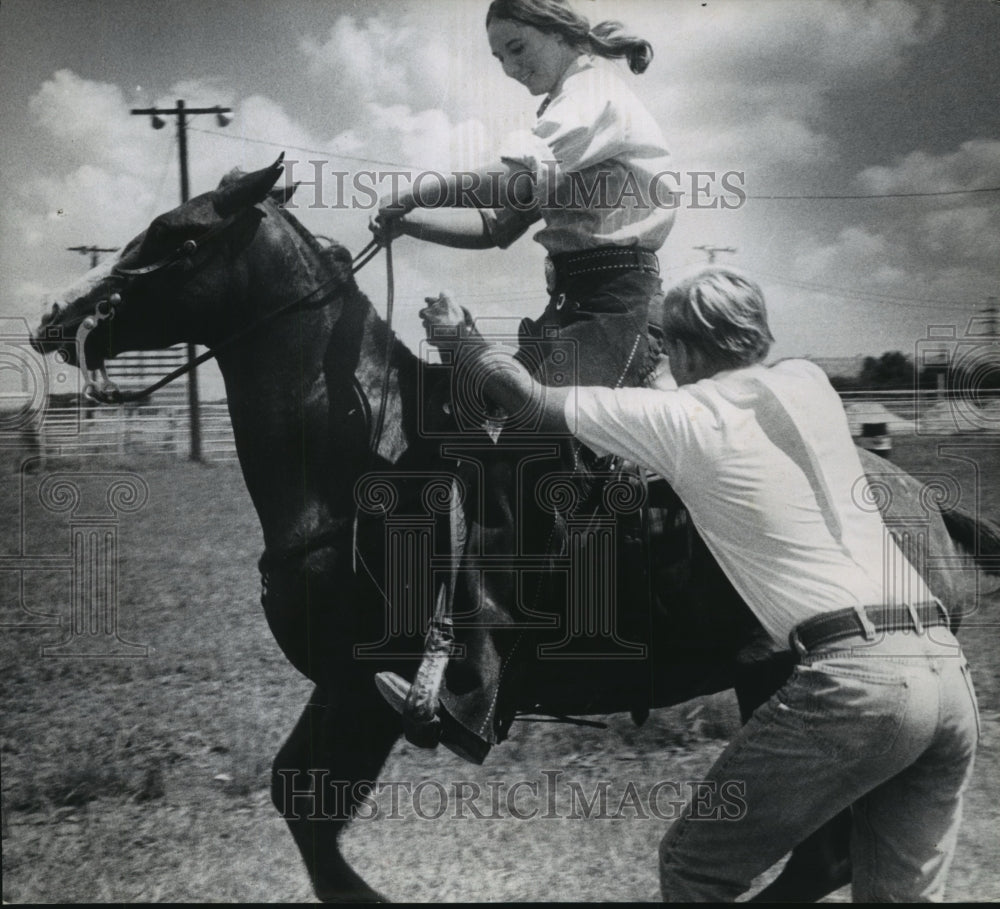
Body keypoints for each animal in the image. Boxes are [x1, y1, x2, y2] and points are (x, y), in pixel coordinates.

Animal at [33, 156, 1000, 900]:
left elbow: (311, 817)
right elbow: (295, 803)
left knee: (822, 855)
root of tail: (924, 503)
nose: (51, 318)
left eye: (180, 235)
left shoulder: (363, 689)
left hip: (778, 686)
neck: (365, 458)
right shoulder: (343, 687)